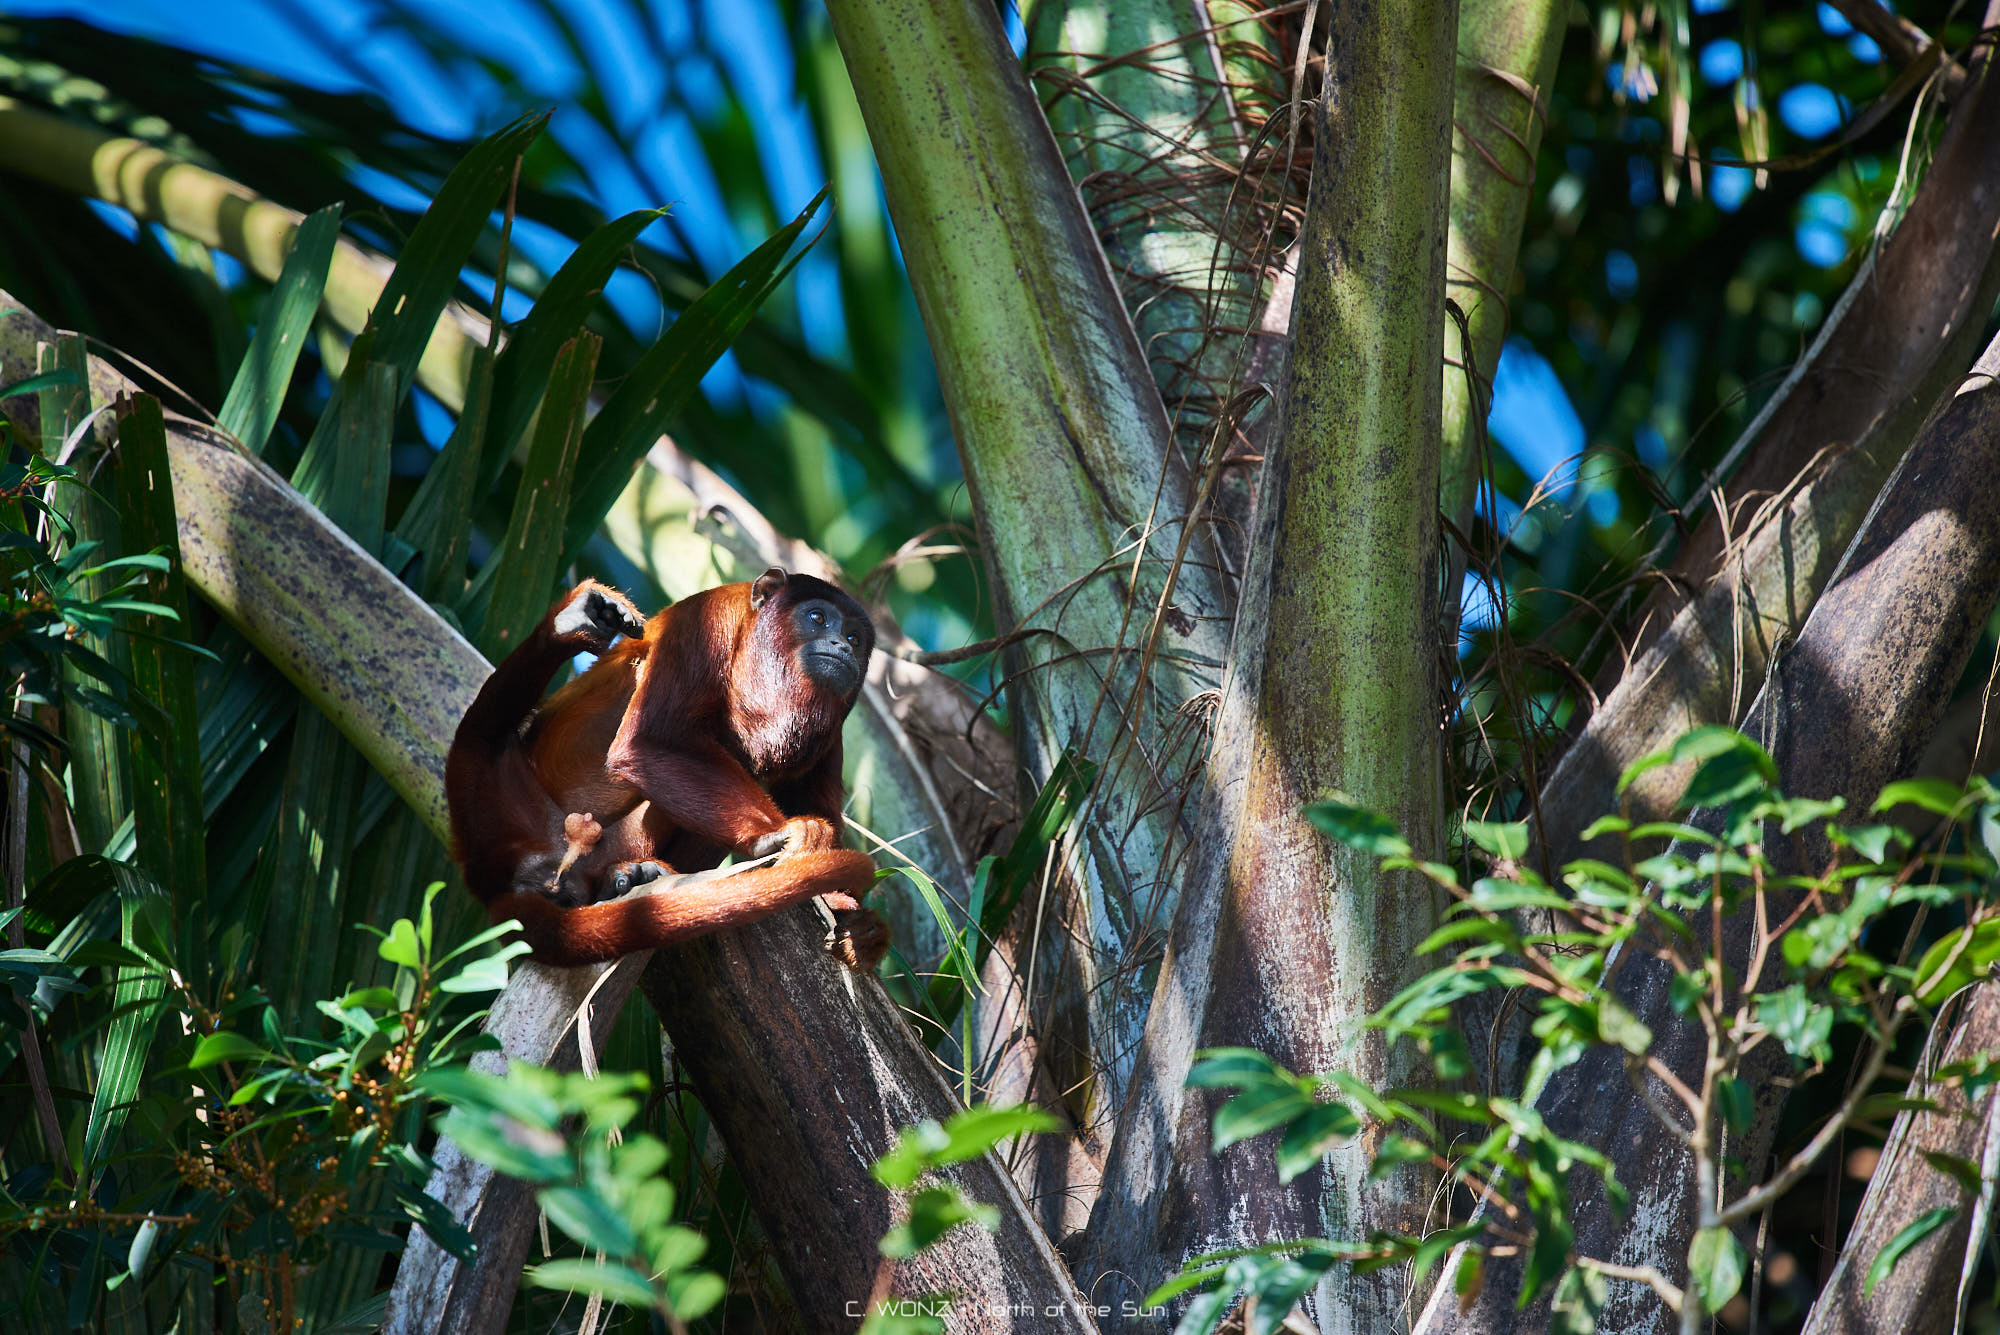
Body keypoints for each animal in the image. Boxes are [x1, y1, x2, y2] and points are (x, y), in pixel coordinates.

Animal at [454, 567, 892, 963]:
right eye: (817, 617)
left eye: (855, 638)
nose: (842, 646)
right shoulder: (704, 621)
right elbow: (645, 743)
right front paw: (782, 833)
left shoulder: (834, 732)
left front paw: (858, 922)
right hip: (496, 804)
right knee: (484, 735)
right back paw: (569, 624)